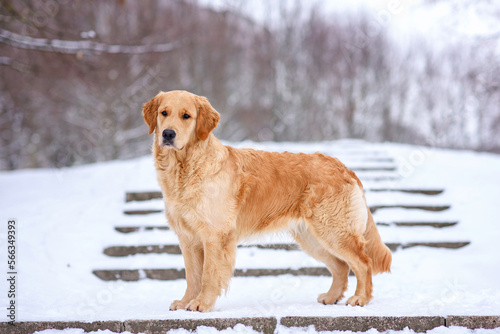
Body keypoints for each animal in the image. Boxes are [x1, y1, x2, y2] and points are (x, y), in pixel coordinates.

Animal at [143, 90, 392, 312]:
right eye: (164, 113)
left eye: (186, 116)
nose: (167, 134)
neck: (185, 168)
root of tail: (344, 167)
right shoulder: (188, 238)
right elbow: (192, 275)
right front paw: (185, 302)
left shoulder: (214, 236)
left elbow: (208, 275)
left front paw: (201, 304)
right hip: (312, 238)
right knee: (341, 266)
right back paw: (331, 297)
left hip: (334, 231)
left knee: (363, 263)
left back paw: (360, 298)